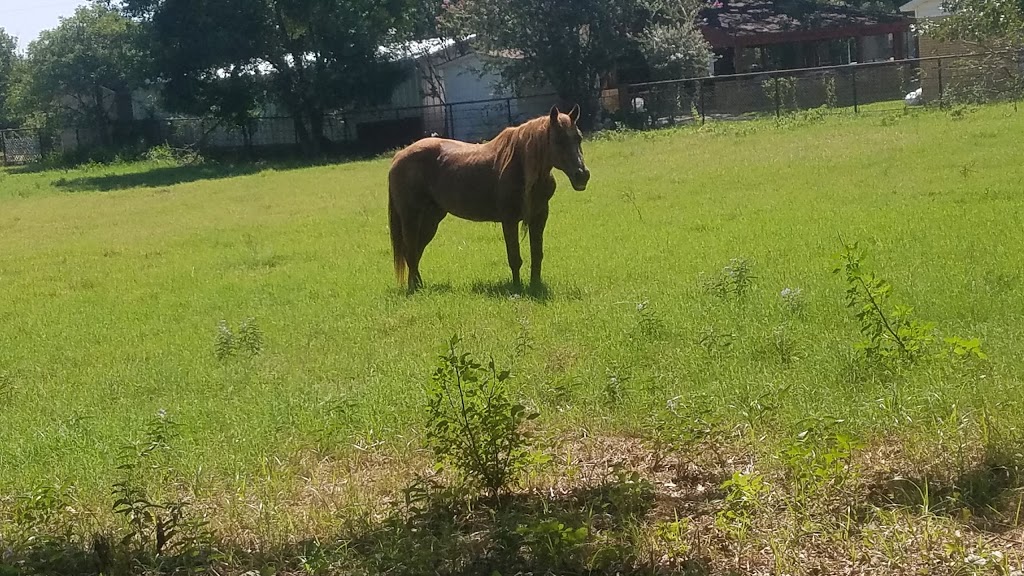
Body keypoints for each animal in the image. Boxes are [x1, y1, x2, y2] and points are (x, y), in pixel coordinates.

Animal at [385, 103, 593, 291]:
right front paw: (517, 287)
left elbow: (537, 254)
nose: (582, 175)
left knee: (416, 250)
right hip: (411, 217)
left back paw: (418, 285)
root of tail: (398, 157)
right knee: (411, 251)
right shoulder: (509, 220)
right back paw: (414, 288)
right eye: (558, 140)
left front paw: (535, 285)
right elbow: (514, 257)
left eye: (579, 138)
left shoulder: (539, 217)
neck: (520, 165)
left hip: (431, 219)